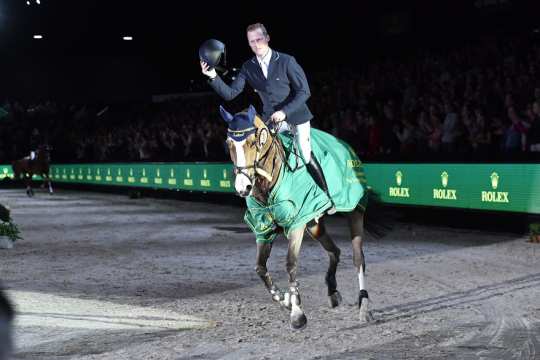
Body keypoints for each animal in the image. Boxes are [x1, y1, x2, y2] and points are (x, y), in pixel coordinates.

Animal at [217, 104, 378, 330]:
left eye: (252, 142)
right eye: (229, 144)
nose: (243, 187)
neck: (267, 182)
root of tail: (344, 145)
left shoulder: (296, 224)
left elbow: (290, 263)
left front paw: (297, 313)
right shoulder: (264, 230)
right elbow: (260, 268)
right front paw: (284, 299)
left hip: (354, 210)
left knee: (358, 259)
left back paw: (363, 306)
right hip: (313, 223)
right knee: (334, 251)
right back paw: (332, 292)